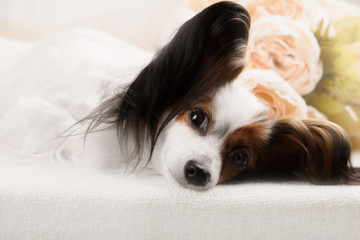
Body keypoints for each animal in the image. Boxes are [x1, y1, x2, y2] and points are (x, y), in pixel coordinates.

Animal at [2, 1, 358, 189]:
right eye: (197, 117)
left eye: (239, 157)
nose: (199, 173)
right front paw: (41, 112)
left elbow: (84, 147)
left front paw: (42, 118)